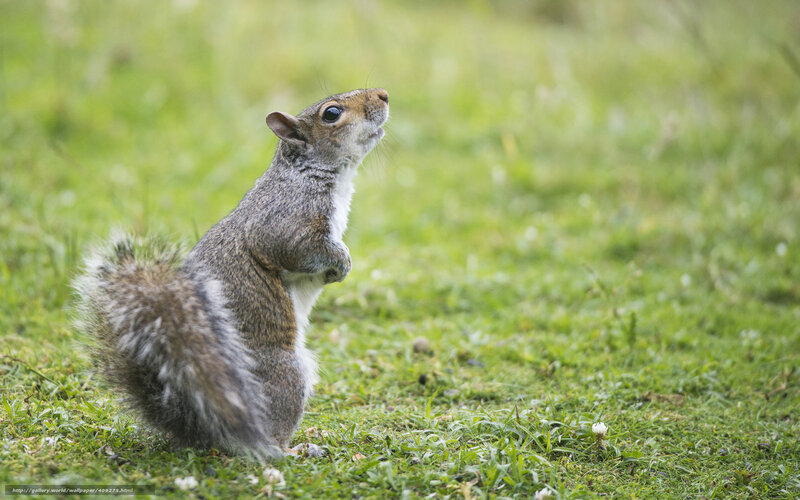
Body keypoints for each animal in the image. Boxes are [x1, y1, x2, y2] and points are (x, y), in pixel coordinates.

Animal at [74, 88, 389, 458]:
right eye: (331, 114)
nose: (383, 94)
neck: (312, 173)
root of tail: (200, 425)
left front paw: (337, 272)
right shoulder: (285, 220)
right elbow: (297, 249)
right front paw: (342, 263)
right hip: (285, 373)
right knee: (268, 437)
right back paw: (293, 450)